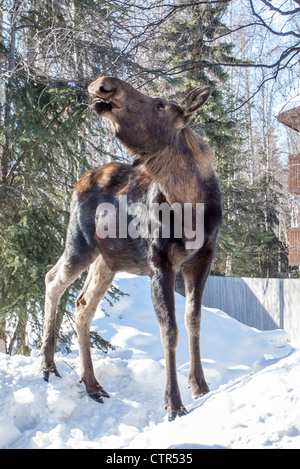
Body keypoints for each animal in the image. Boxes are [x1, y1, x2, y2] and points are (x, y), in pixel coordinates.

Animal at [41, 76, 221, 420]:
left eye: (161, 105)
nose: (104, 84)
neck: (190, 204)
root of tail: (79, 179)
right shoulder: (159, 262)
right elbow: (169, 330)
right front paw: (173, 403)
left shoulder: (203, 257)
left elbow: (194, 319)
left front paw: (201, 386)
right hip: (79, 241)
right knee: (52, 279)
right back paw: (47, 364)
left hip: (106, 260)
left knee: (83, 304)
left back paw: (92, 384)